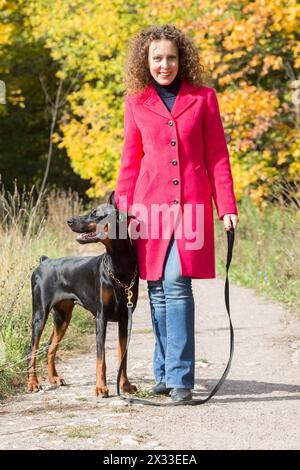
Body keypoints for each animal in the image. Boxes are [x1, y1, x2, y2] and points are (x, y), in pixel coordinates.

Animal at [27, 192, 138, 396]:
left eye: (96, 214)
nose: (69, 220)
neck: (118, 264)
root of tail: (44, 261)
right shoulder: (101, 317)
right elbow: (101, 357)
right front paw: (101, 387)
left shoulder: (125, 318)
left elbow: (123, 356)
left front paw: (125, 385)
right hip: (39, 314)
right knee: (33, 348)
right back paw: (33, 383)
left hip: (62, 317)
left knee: (50, 347)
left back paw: (54, 378)